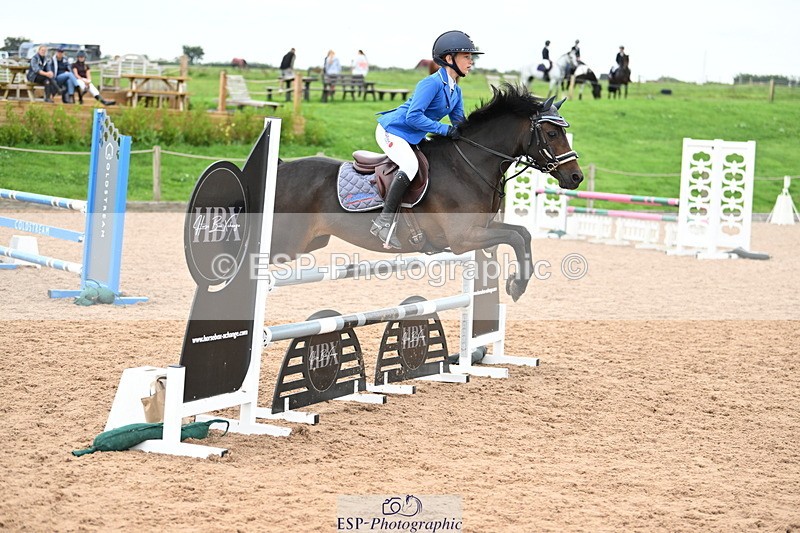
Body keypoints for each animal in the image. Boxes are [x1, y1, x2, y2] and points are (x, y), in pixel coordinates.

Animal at [270, 84, 583, 302]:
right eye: (552, 134)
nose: (576, 177)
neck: (468, 165)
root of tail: (282, 167)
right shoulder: (463, 238)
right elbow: (515, 238)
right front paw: (517, 285)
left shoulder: (483, 227)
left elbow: (523, 234)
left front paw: (516, 284)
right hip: (286, 244)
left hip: (309, 242)